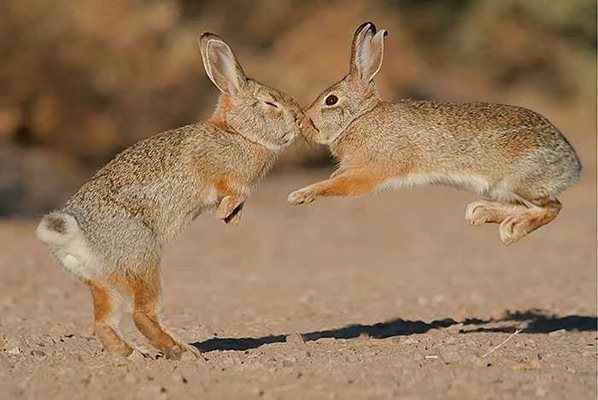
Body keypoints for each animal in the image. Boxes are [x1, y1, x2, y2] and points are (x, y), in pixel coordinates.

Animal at [35, 32, 314, 360]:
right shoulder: (216, 174)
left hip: (100, 282)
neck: (238, 133)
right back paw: (182, 352)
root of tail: (74, 235)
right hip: (141, 258)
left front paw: (231, 219)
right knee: (141, 314)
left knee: (104, 322)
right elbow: (226, 191)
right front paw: (226, 213)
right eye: (270, 103)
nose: (299, 119)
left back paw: (134, 355)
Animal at [290, 22, 580, 247]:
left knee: (552, 207)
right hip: (502, 188)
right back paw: (482, 213)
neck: (359, 119)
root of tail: (573, 165)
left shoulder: (374, 171)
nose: (303, 123)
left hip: (518, 180)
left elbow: (338, 186)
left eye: (331, 100)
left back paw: (512, 230)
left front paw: (300, 195)